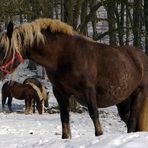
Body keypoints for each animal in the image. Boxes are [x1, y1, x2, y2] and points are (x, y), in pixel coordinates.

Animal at [0, 18, 147, 139]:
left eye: (3, 49)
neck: (63, 55)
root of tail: (142, 57)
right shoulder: (60, 92)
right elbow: (64, 117)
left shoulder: (88, 91)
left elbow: (94, 115)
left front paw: (99, 136)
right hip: (123, 101)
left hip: (139, 94)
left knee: (132, 121)